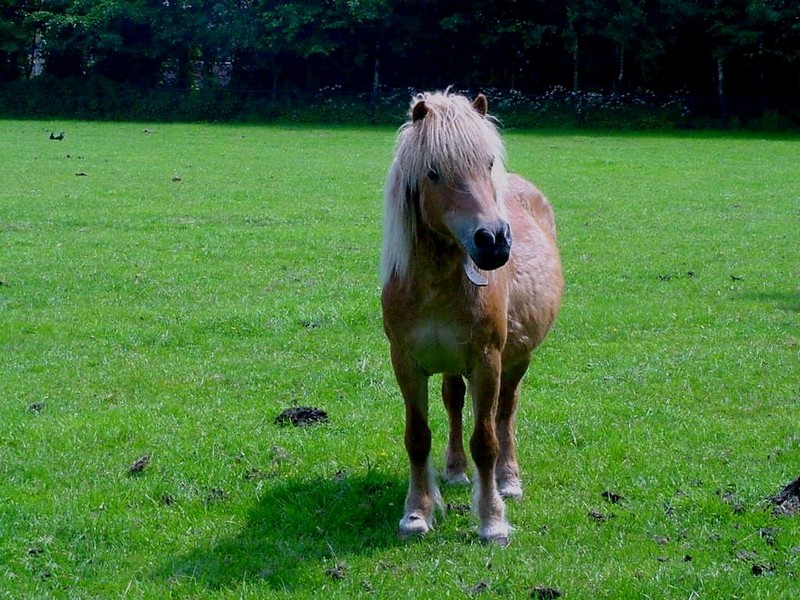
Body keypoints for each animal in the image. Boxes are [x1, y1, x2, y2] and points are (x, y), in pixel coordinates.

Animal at [380, 91, 564, 548]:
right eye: (433, 172)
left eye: (488, 163)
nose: (494, 240)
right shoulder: (406, 363)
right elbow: (417, 437)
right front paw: (417, 513)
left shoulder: (487, 361)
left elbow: (486, 439)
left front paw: (492, 519)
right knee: (453, 401)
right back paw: (455, 471)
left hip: (517, 360)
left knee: (506, 411)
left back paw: (508, 480)